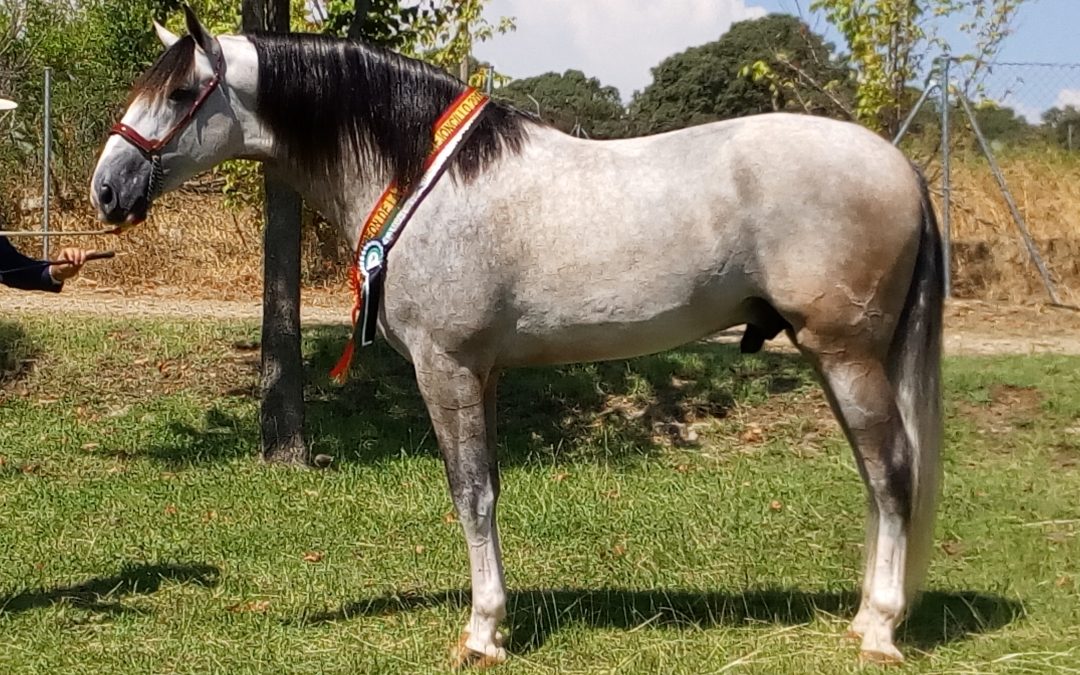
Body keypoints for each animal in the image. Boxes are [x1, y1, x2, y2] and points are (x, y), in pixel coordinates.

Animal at [90, 8, 943, 667]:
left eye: (180, 91)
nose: (107, 188)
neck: (424, 177)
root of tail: (901, 165)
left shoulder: (446, 367)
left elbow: (469, 491)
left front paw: (482, 632)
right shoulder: (486, 372)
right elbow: (490, 486)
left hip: (846, 354)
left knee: (891, 470)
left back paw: (880, 627)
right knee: (876, 474)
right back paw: (864, 617)